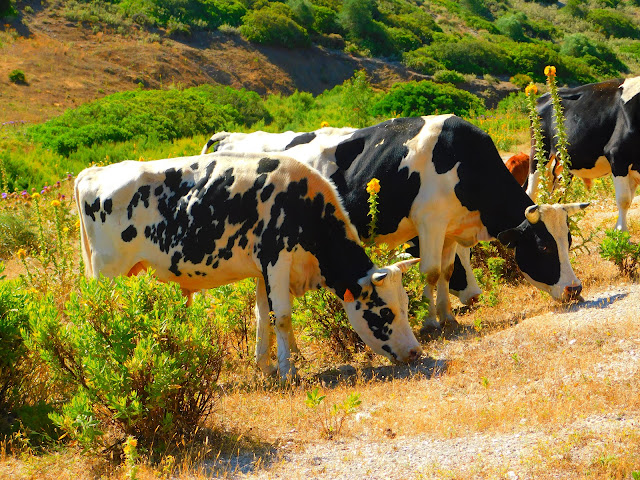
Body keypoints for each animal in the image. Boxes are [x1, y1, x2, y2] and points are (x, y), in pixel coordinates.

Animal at [75, 151, 422, 378]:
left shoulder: (263, 269)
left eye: (406, 305)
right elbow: (282, 317)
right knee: (103, 321)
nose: (415, 352)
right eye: (386, 311)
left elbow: (262, 316)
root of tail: (93, 172)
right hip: (107, 274)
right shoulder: (277, 258)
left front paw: (267, 364)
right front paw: (287, 371)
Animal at [202, 115, 588, 336]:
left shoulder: (447, 227)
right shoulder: (429, 222)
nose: (575, 289)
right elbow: (430, 272)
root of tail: (227, 138)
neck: (461, 158)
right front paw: (431, 323)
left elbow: (447, 270)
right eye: (543, 246)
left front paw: (448, 317)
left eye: (568, 240)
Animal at [524, 76, 640, 231]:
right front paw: (621, 233)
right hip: (539, 152)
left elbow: (630, 198)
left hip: (561, 164)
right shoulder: (617, 154)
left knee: (553, 193)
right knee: (531, 190)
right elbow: (624, 199)